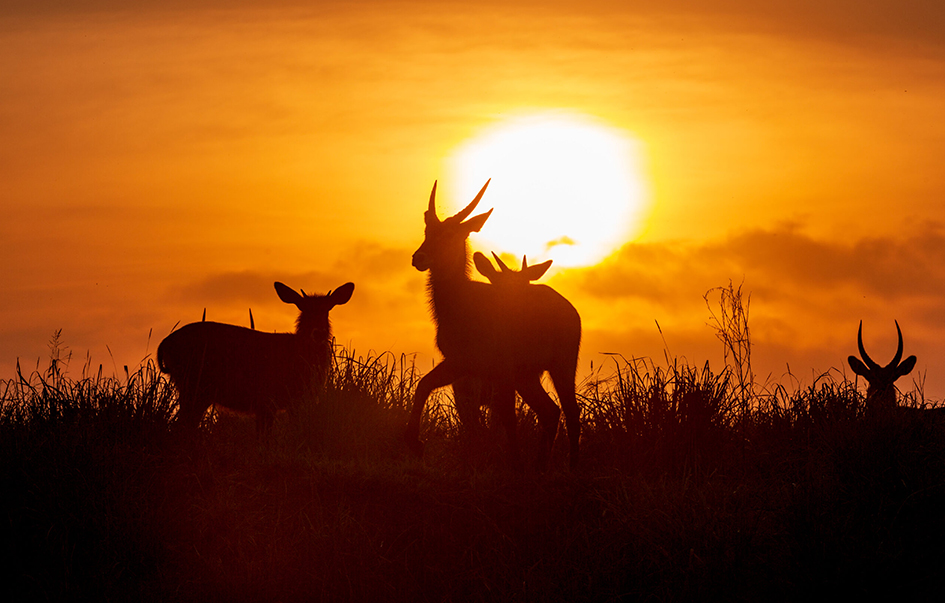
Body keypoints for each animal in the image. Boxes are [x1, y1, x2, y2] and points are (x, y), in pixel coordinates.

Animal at [158, 280, 354, 432]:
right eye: (303, 309)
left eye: (327, 309)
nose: (318, 333)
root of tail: (164, 344)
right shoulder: (267, 398)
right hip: (195, 385)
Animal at [406, 180, 584, 472]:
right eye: (427, 230)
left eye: (451, 233)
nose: (419, 258)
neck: (461, 304)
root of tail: (571, 309)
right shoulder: (462, 363)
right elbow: (425, 385)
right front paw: (415, 444)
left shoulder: (496, 368)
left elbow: (506, 417)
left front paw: (512, 465)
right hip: (527, 375)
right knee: (550, 410)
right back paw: (539, 466)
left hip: (562, 365)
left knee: (571, 410)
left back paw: (571, 469)